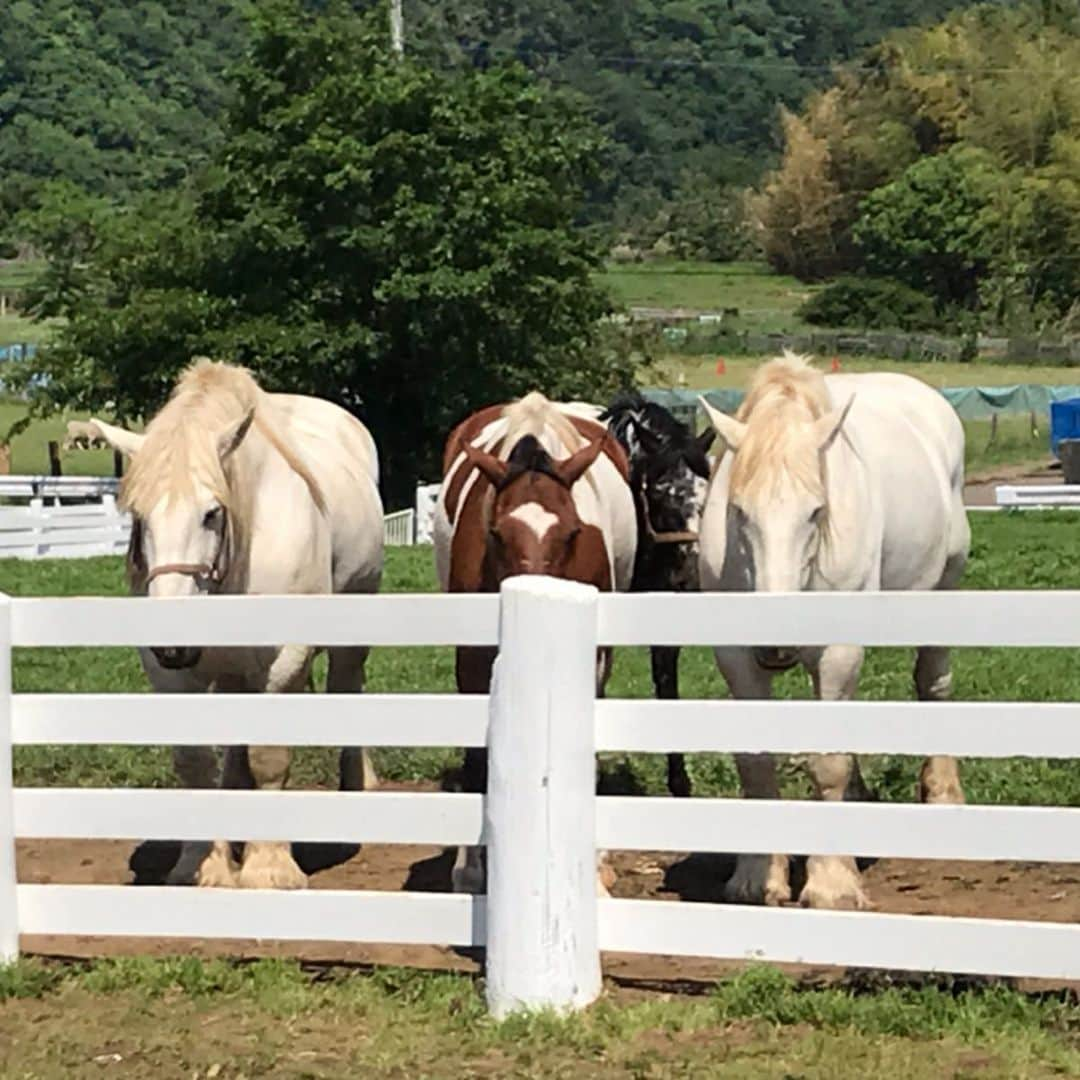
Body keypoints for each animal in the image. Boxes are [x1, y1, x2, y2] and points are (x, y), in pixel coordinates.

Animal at [89, 358, 384, 889]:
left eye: (211, 514)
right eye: (138, 516)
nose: (173, 643)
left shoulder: (284, 660)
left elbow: (269, 756)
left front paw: (269, 868)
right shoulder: (169, 674)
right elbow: (195, 763)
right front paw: (202, 864)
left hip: (349, 637)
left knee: (347, 689)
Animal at [699, 354, 972, 911]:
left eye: (816, 511)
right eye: (738, 511)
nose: (775, 645)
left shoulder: (836, 651)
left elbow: (827, 762)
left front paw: (831, 885)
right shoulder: (735, 655)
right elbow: (755, 761)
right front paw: (757, 876)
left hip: (943, 590)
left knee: (933, 683)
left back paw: (942, 791)